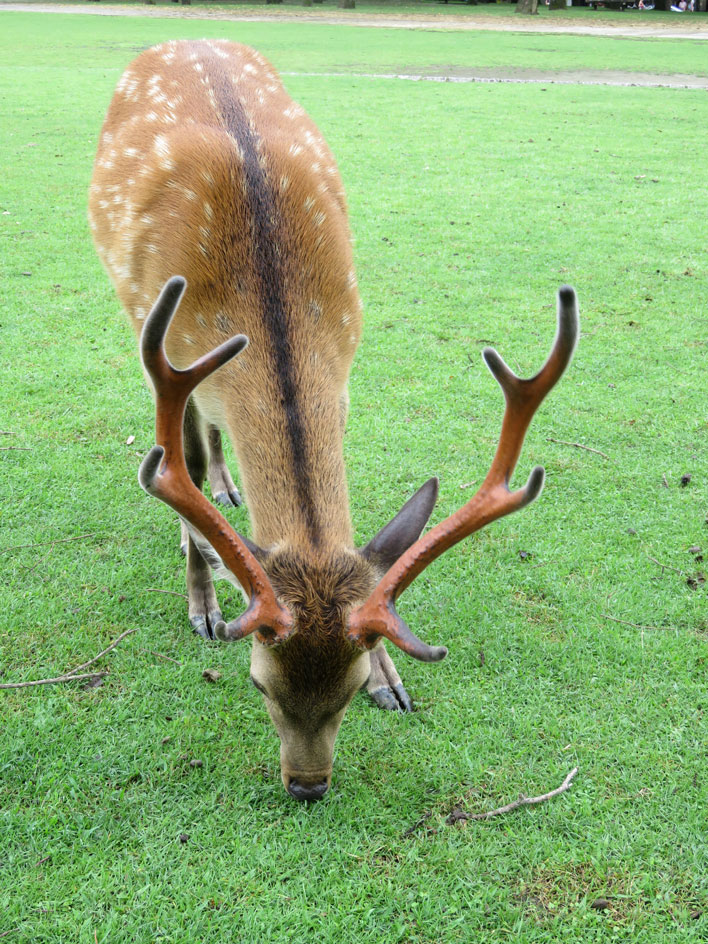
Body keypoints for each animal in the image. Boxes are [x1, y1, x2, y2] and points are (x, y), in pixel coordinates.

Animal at [88, 40, 580, 800]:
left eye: (347, 689)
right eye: (259, 685)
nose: (308, 786)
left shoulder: (344, 362)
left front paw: (393, 681)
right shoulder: (160, 345)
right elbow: (182, 469)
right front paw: (204, 604)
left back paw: (228, 490)